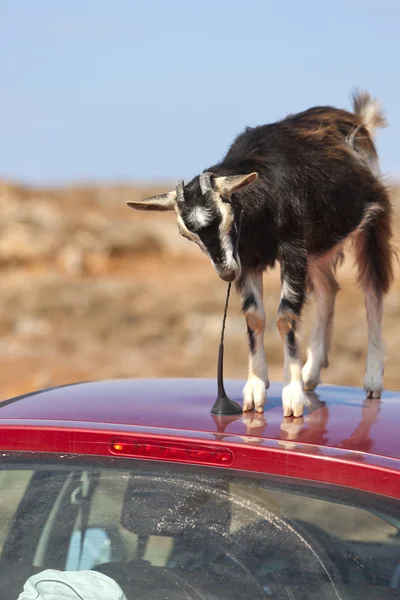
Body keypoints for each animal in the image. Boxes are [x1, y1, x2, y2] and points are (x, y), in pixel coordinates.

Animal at [127, 91, 394, 418]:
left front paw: (292, 395)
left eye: (228, 215)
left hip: (371, 220)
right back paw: (312, 371)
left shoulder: (292, 248)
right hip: (318, 245)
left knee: (372, 292)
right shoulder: (248, 258)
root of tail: (357, 120)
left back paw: (372, 380)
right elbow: (254, 315)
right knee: (329, 289)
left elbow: (286, 315)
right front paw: (255, 388)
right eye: (185, 233)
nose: (226, 272)